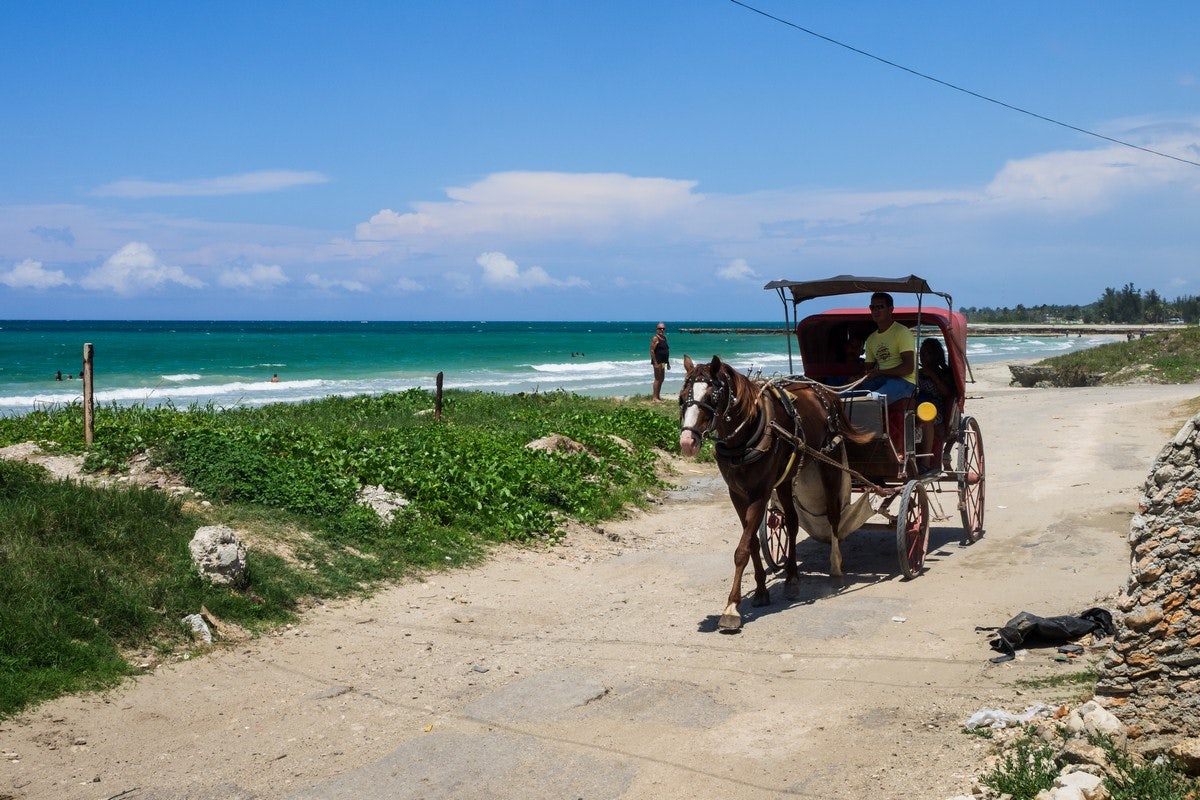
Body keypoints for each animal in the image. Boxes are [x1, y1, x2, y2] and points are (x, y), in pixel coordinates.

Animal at [676, 357, 873, 633]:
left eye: (713, 397)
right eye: (682, 397)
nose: (687, 442)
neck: (745, 435)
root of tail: (823, 391)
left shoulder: (761, 492)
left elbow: (742, 549)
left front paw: (731, 608)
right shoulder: (737, 494)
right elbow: (752, 542)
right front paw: (760, 590)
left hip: (829, 463)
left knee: (833, 515)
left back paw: (835, 565)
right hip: (787, 479)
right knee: (791, 521)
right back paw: (791, 578)